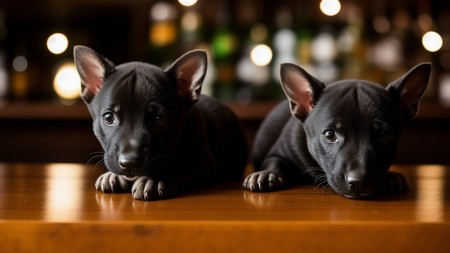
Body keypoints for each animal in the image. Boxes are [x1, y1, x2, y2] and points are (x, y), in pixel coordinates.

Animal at [75, 45, 248, 200]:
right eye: (109, 118)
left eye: (159, 119)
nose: (129, 162)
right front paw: (112, 175)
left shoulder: (204, 164)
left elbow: (179, 167)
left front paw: (155, 179)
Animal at [244, 62, 430, 199]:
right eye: (329, 135)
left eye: (384, 135)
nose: (358, 181)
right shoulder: (279, 152)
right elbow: (275, 162)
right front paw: (267, 175)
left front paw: (391, 177)